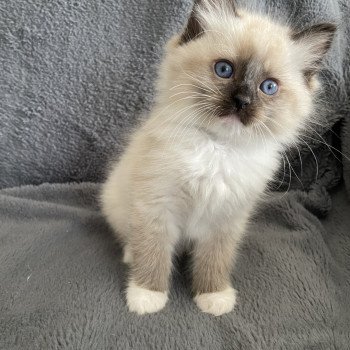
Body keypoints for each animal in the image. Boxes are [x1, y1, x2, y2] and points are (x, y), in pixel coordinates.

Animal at [100, 0, 334, 316]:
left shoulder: (226, 218)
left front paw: (213, 296)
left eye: (269, 87)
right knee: (131, 237)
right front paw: (147, 295)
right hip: (118, 202)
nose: (242, 102)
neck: (218, 148)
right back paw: (130, 255)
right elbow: (153, 251)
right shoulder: (156, 206)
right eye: (224, 69)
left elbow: (214, 260)